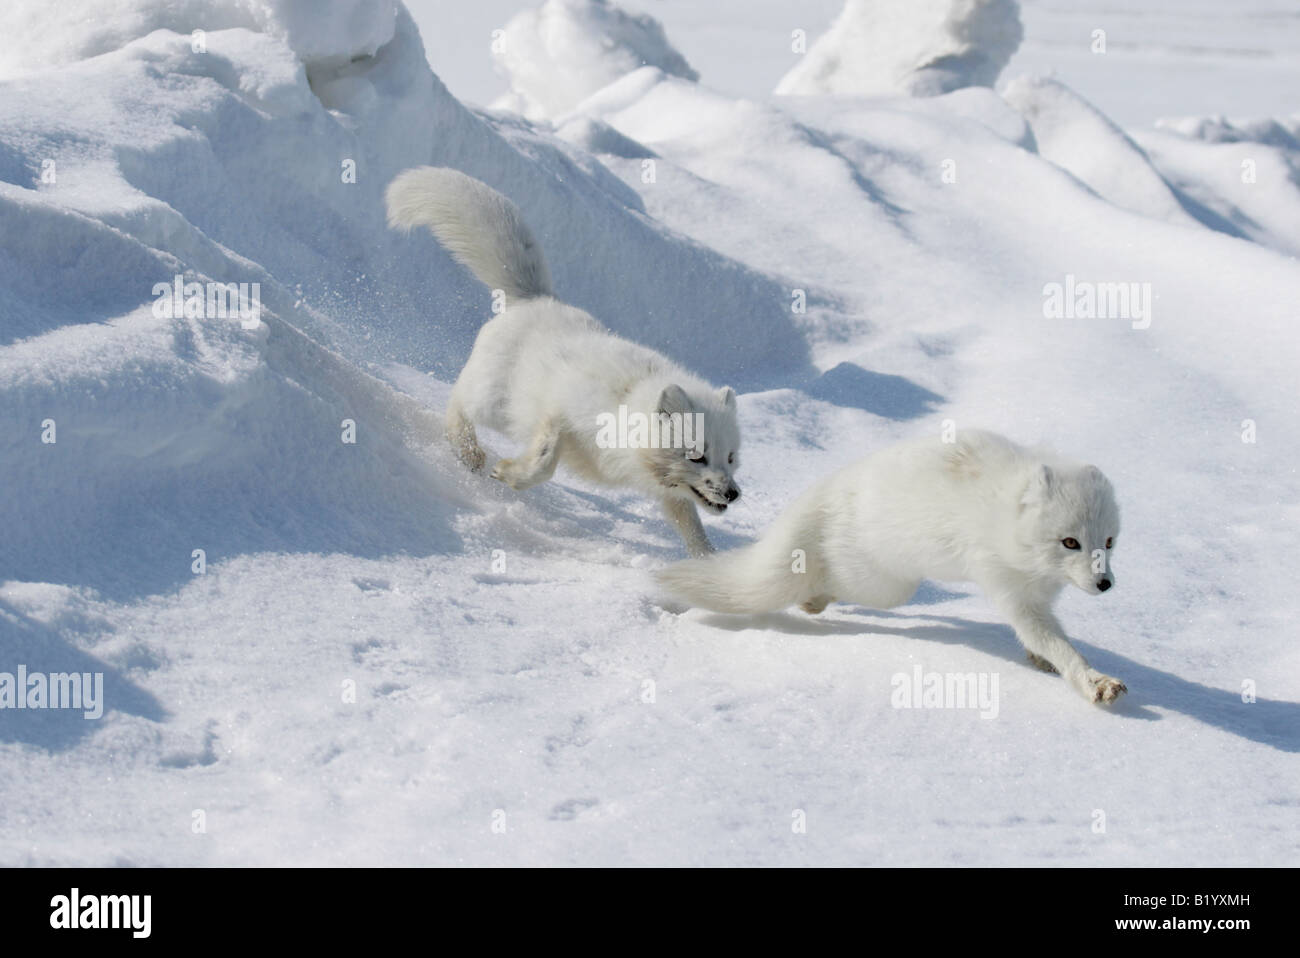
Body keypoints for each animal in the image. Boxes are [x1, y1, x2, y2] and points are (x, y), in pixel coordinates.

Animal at [385, 166, 741, 556]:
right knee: (458, 400)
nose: (733, 493)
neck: (625, 411)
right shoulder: (559, 414)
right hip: (495, 405)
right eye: (696, 456)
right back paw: (467, 451)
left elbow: (691, 525)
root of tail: (537, 298)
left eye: (731, 457)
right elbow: (545, 459)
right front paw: (509, 473)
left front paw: (710, 563)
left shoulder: (667, 491)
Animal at [655, 429, 1127, 704]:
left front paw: (1041, 660)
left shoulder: (1040, 594)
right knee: (831, 583)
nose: (1104, 583)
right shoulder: (1011, 590)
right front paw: (1093, 680)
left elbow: (1043, 640)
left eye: (1108, 542)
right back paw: (812, 602)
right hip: (887, 585)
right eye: (1070, 542)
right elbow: (1057, 644)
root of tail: (831, 488)